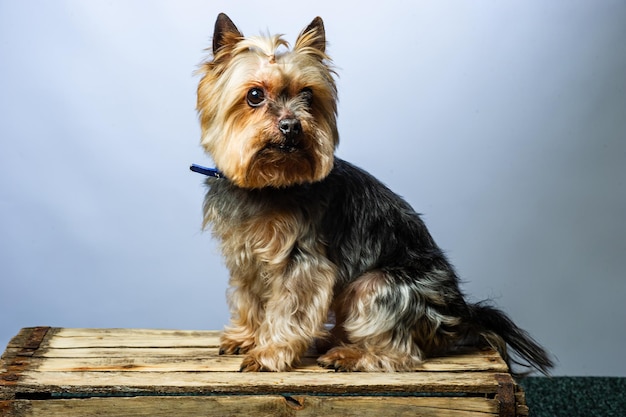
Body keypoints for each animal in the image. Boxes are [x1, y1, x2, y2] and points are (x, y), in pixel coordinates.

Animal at [195, 13, 552, 372]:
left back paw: (349, 354)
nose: (291, 126)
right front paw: (246, 337)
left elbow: (289, 308)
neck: (269, 183)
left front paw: (270, 353)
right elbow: (250, 297)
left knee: (400, 350)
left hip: (376, 286)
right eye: (254, 95)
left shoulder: (302, 260)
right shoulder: (246, 256)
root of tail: (460, 313)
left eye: (307, 96)